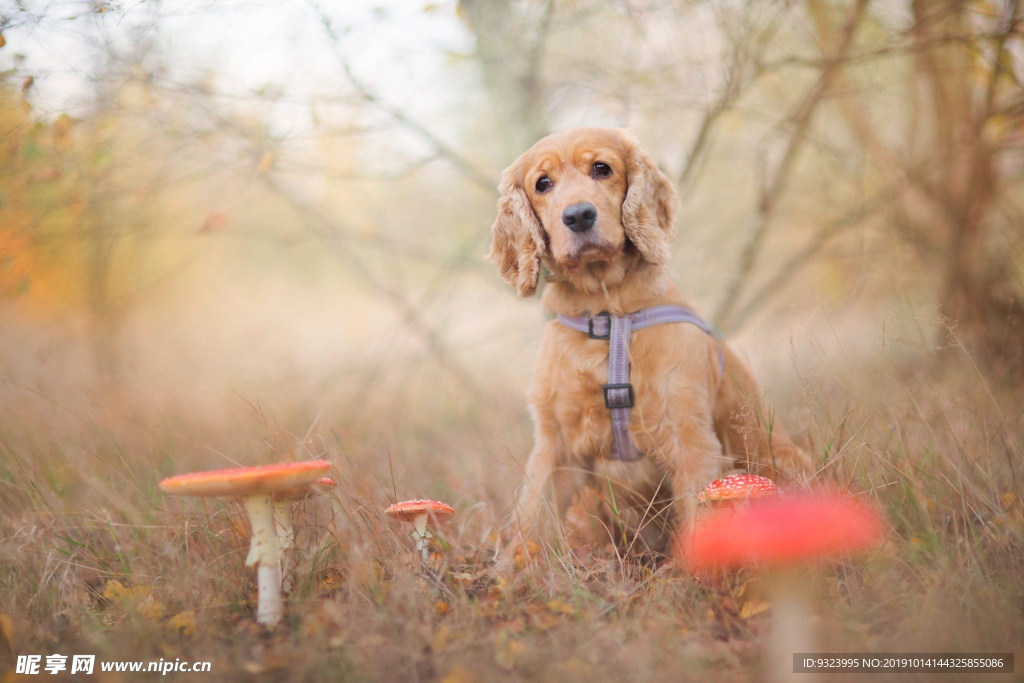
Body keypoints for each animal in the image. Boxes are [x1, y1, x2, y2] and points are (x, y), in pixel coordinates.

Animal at [491, 126, 811, 561]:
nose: (579, 216)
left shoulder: (687, 434)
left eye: (602, 168)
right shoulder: (554, 444)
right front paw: (511, 571)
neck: (607, 315)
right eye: (542, 183)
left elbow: (697, 515)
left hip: (782, 458)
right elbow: (531, 517)